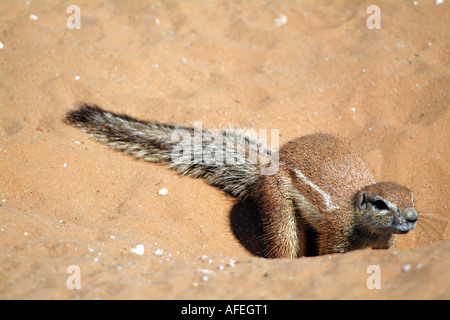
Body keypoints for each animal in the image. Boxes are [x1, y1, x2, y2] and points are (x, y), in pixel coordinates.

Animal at [64, 104, 418, 258]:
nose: (413, 218)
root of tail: (270, 162)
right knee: (284, 240)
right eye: (381, 204)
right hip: (278, 202)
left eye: (412, 199)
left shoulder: (384, 243)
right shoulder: (337, 235)